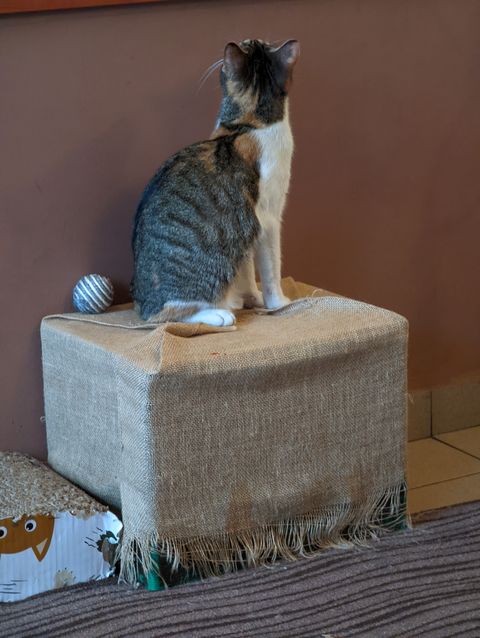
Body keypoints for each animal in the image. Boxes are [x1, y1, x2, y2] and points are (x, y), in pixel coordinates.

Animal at [131, 38, 300, 327]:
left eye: (257, 43)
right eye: (249, 42)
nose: (246, 39)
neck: (249, 124)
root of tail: (144, 305)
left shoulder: (244, 228)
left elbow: (247, 271)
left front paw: (252, 298)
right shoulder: (267, 220)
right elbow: (271, 271)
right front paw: (278, 302)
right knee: (166, 315)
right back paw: (219, 313)